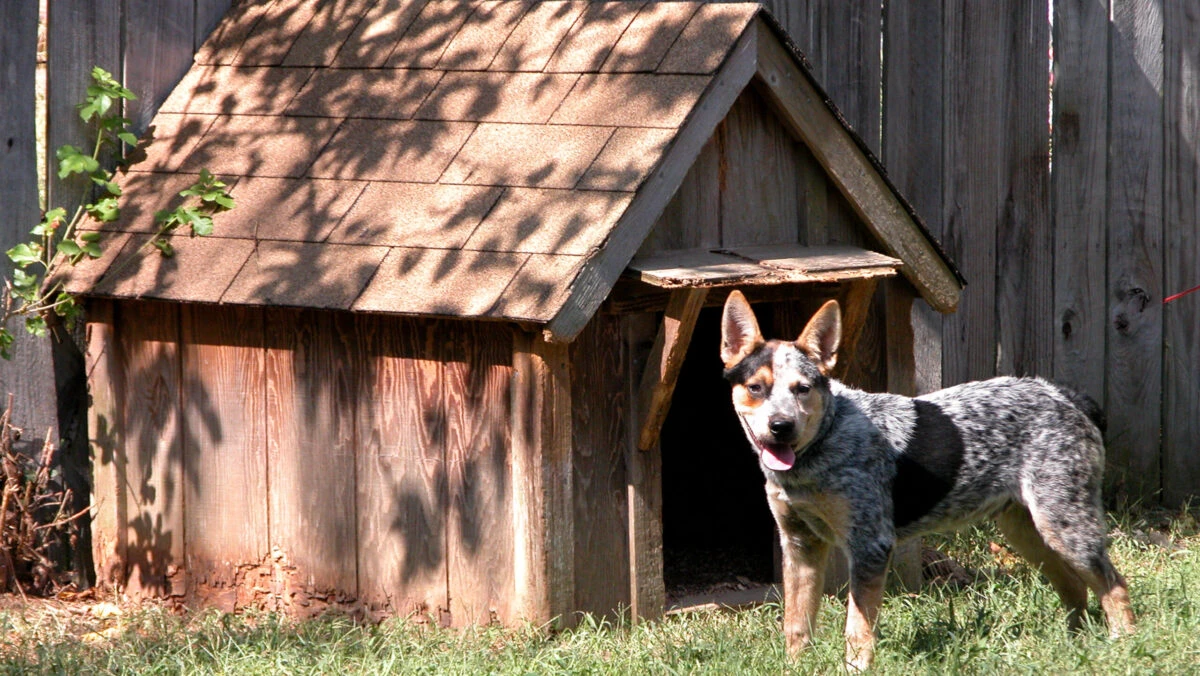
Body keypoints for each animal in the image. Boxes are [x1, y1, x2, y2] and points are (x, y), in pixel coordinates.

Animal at [720, 291, 1132, 672]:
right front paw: (795, 667)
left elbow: (857, 628)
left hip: (1065, 529)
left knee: (1114, 585)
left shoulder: (870, 546)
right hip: (1026, 532)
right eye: (756, 388)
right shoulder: (800, 546)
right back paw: (1072, 646)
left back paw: (1121, 645)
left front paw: (856, 667)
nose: (781, 427)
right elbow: (796, 623)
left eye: (802, 389)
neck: (823, 444)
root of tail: (1067, 395)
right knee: (1076, 588)